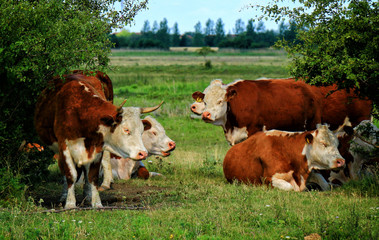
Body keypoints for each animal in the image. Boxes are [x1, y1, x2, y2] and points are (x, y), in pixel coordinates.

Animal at [36, 73, 165, 208]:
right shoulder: (64, 146)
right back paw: (64, 196)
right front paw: (70, 203)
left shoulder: (97, 149)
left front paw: (96, 203)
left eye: (141, 130)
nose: (143, 153)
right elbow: (71, 174)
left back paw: (87, 196)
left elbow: (92, 176)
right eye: (126, 129)